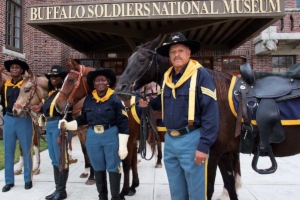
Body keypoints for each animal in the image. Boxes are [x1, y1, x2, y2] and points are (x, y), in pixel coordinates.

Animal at [113, 35, 300, 199]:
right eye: (129, 59)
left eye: (141, 59)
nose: (120, 88)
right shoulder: (224, 153)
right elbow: (230, 185)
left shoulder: (211, 154)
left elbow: (207, 190)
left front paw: (125, 191)